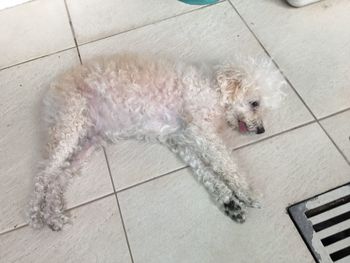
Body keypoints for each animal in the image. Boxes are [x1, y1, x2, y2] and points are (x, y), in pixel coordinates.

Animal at [27, 53, 284, 231]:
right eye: (254, 103)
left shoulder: (183, 140)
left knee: (57, 180)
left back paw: (53, 215)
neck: (214, 88)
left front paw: (228, 201)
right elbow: (227, 164)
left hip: (85, 146)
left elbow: (206, 172)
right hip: (68, 129)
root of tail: (51, 91)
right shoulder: (202, 133)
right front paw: (247, 192)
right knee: (42, 177)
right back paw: (35, 215)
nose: (261, 130)